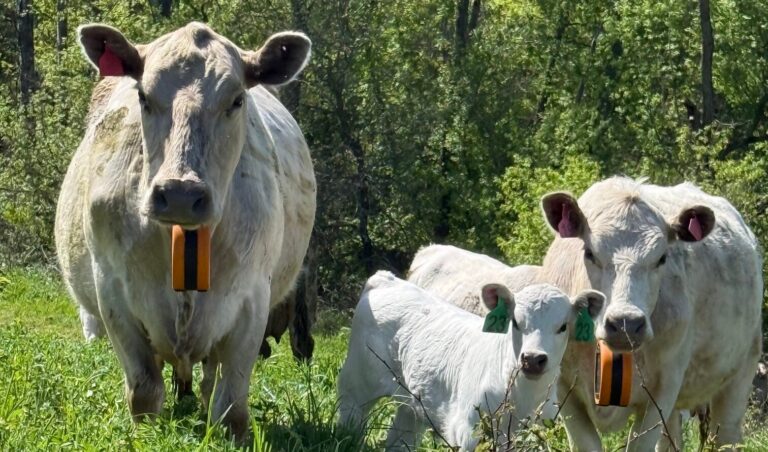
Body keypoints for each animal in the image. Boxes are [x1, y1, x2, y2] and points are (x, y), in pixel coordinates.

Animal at [54, 22, 315, 442]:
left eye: (236, 100)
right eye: (143, 96)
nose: (180, 193)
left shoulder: (252, 298)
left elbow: (230, 405)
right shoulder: (112, 291)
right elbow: (144, 392)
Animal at [337, 271, 604, 450]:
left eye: (563, 326)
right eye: (515, 322)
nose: (532, 359)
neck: (524, 398)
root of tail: (386, 280)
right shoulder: (469, 434)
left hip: (412, 405)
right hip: (357, 383)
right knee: (350, 421)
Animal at [536, 176, 762, 451]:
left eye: (662, 258)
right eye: (589, 253)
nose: (626, 323)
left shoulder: (663, 388)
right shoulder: (564, 389)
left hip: (740, 374)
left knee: (726, 433)